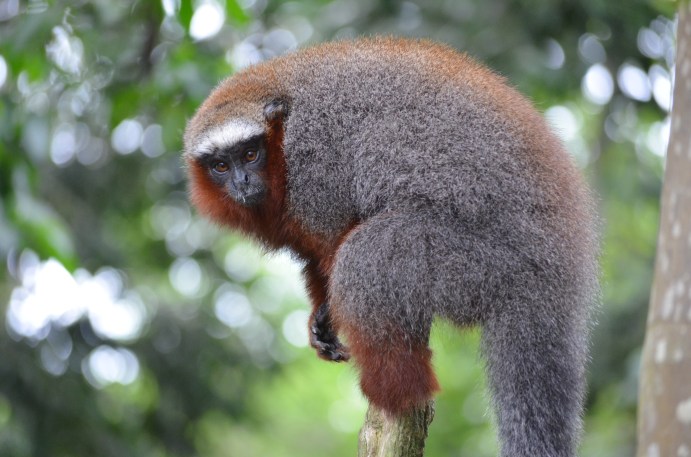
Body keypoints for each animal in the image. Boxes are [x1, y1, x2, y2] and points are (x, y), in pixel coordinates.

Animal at [183, 37, 599, 457]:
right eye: (221, 166)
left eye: (251, 154)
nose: (242, 181)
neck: (281, 135)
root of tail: (560, 268)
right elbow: (316, 258)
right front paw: (322, 321)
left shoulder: (313, 161)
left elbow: (335, 240)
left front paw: (331, 313)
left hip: (484, 265)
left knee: (365, 254)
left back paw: (396, 393)